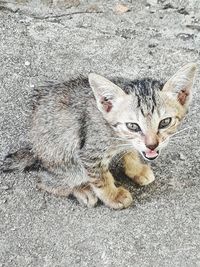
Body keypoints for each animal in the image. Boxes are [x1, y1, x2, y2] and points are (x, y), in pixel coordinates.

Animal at [1, 63, 197, 209]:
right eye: (133, 126)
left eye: (165, 122)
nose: (152, 145)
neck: (115, 132)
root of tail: (34, 150)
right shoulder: (89, 152)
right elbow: (100, 177)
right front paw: (113, 195)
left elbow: (130, 152)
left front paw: (136, 168)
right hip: (65, 159)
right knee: (44, 180)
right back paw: (82, 190)